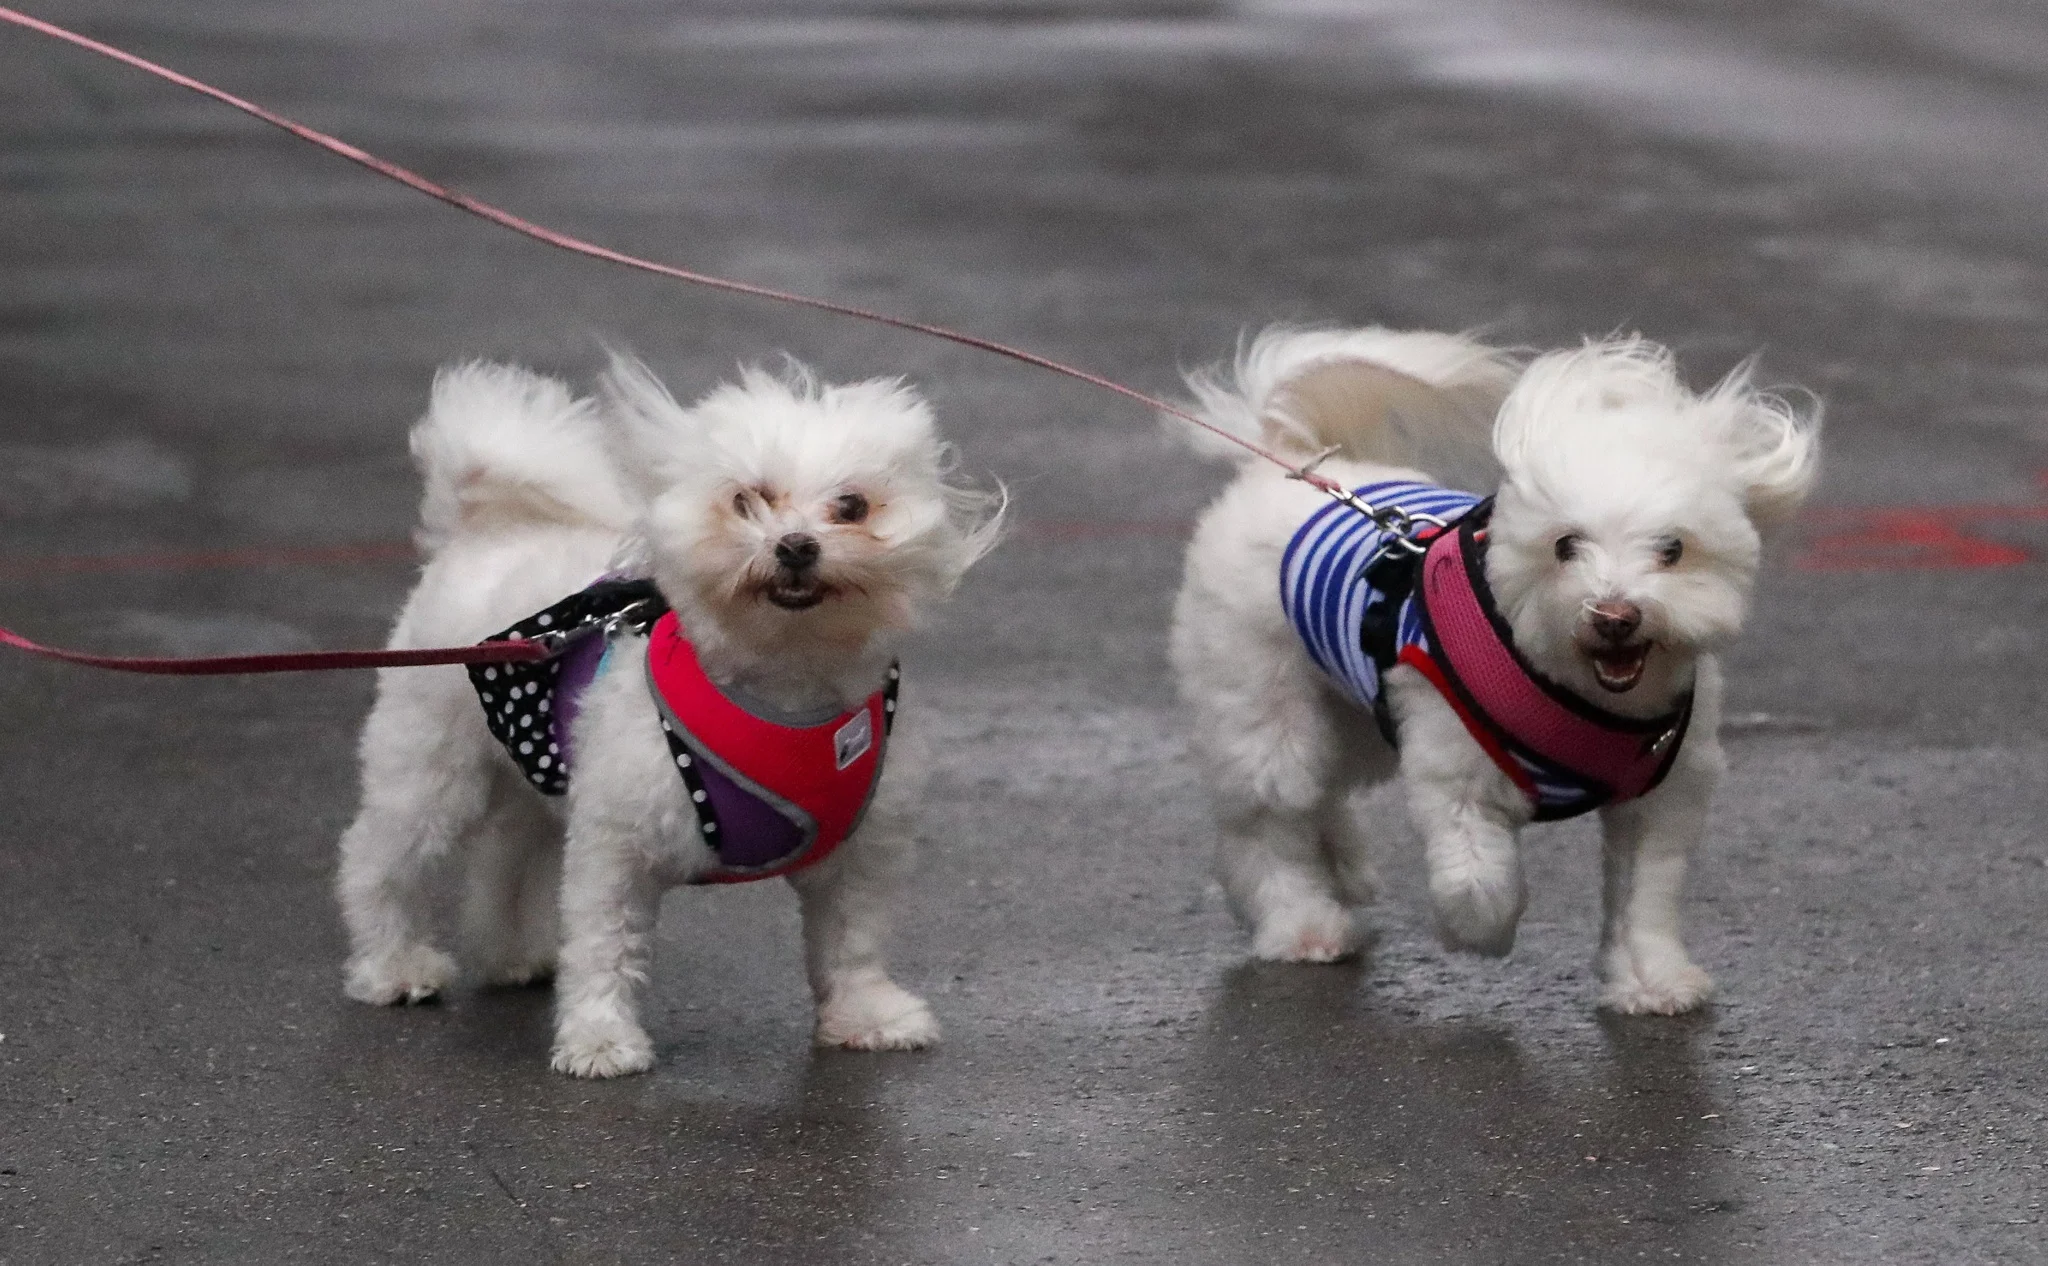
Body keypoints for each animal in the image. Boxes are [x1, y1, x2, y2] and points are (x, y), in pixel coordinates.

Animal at [335, 355, 1002, 1076]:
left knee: (507, 854)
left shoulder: (860, 853)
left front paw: (867, 1015)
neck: (787, 682)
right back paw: (394, 966)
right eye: (745, 500)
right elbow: (603, 945)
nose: (796, 545)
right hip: (430, 768)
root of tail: (487, 528)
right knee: (378, 861)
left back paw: (513, 955)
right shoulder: (617, 844)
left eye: (852, 505)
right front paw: (600, 1038)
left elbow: (853, 944)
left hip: (534, 771)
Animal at [1169, 327, 1817, 1013]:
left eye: (1673, 549)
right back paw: (1303, 924)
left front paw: (1651, 980)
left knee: (1324, 792)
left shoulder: (1659, 800)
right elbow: (1478, 878)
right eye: (1565, 545)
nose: (1615, 615)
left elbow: (1644, 896)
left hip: (1356, 710)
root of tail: (1282, 459)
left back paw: (1342, 867)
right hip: (1264, 704)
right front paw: (1481, 934)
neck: (1584, 694)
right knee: (1272, 820)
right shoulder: (1456, 773)